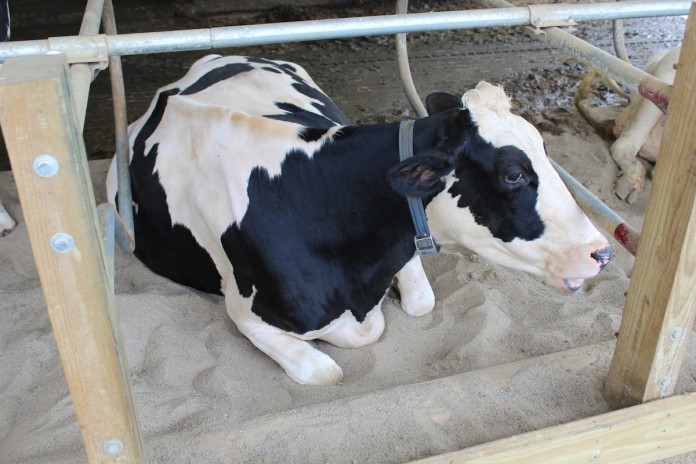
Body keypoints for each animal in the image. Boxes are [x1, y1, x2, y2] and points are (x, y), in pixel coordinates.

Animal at [107, 55, 612, 385]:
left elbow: (419, 303)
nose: (603, 252)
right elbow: (327, 369)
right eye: (513, 174)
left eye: (545, 150)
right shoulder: (244, 312)